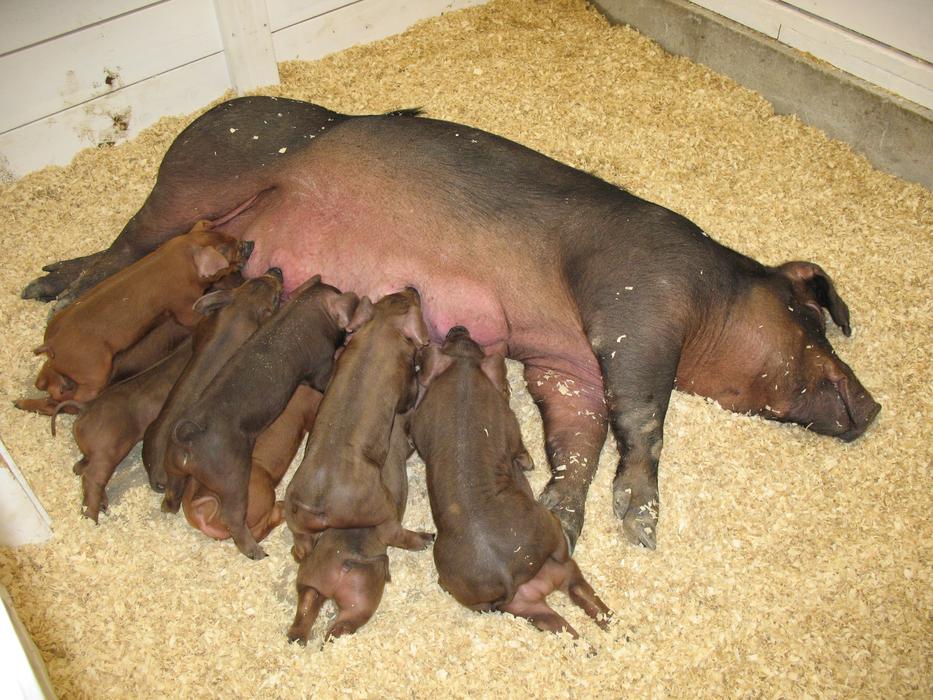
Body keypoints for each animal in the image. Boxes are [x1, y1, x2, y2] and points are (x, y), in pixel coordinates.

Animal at [32, 220, 248, 404]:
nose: (249, 244)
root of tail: (52, 343)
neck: (181, 256)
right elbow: (189, 317)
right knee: (80, 395)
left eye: (232, 237)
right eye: (231, 252)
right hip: (94, 368)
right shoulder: (182, 301)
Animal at [52, 339, 193, 522]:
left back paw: (102, 506)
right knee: (92, 477)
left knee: (79, 468)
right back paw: (92, 518)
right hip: (107, 451)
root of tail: (86, 407)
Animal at [284, 289, 433, 553]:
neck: (381, 328)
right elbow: (408, 398)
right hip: (378, 504)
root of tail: (319, 505)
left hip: (296, 520)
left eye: (391, 296)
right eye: (410, 301)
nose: (412, 288)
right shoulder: (404, 380)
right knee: (390, 533)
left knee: (299, 549)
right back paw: (426, 539)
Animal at [287, 415, 413, 643]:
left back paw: (296, 639)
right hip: (361, 601)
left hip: (311, 577)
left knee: (307, 604)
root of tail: (344, 564)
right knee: (341, 626)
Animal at [411, 327, 612, 637]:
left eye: (455, 340)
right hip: (550, 541)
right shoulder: (510, 423)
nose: (459, 328)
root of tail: (508, 576)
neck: (463, 370)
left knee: (574, 619)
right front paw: (528, 463)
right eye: (473, 345)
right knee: (578, 597)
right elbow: (518, 446)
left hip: (527, 601)